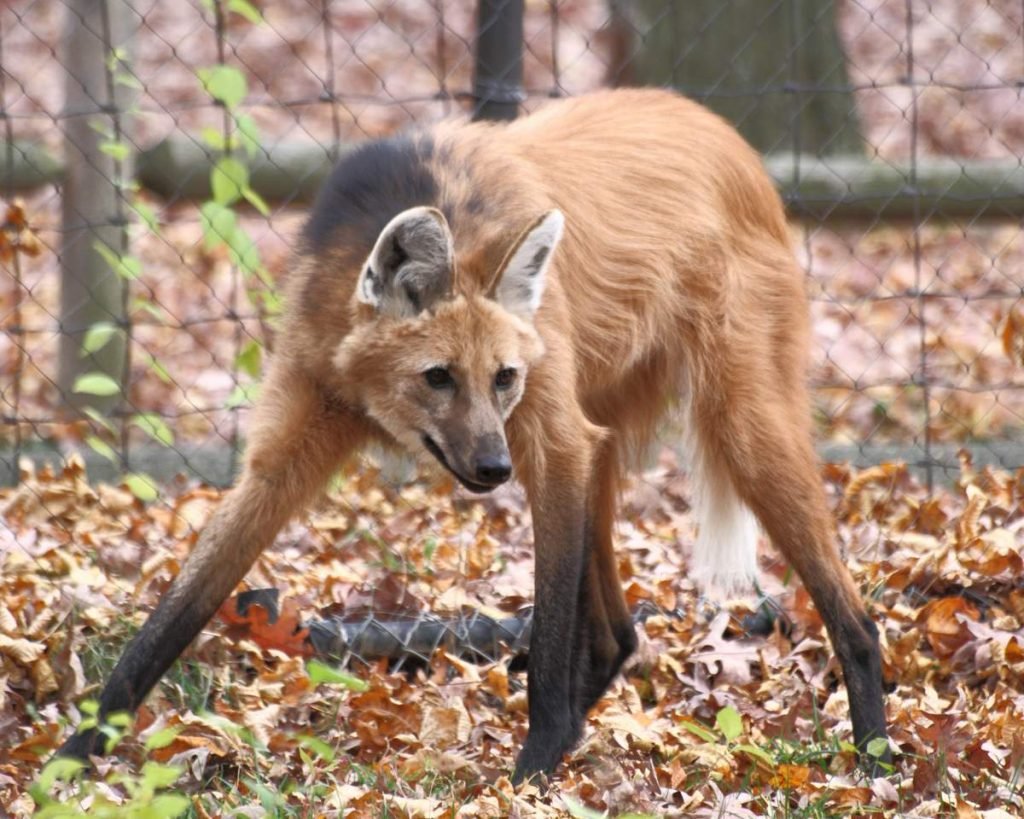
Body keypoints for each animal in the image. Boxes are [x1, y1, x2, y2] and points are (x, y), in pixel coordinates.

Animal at [58, 88, 888, 782]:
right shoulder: (288, 446)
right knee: (618, 631)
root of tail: (732, 139)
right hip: (604, 435)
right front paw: (71, 756)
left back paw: (875, 757)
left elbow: (549, 628)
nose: (491, 468)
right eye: (438, 377)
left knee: (852, 614)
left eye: (503, 377)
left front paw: (531, 770)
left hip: (735, 427)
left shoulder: (545, 440)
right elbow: (175, 611)